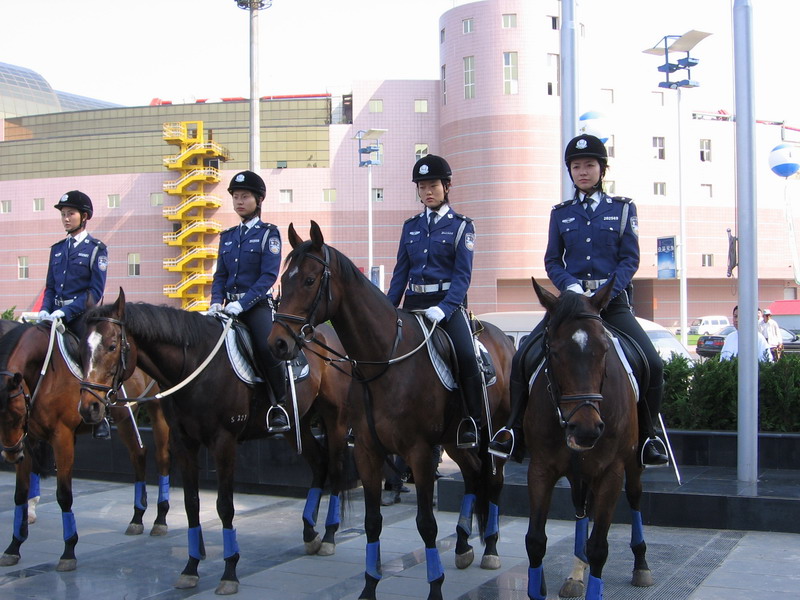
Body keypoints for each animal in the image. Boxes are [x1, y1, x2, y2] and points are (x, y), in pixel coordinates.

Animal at [0, 318, 169, 572]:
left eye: (18, 414)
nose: (11, 455)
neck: (42, 371)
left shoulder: (62, 438)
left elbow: (64, 495)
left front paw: (69, 550)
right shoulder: (27, 440)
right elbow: (20, 494)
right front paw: (13, 546)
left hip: (156, 408)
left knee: (161, 456)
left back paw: (160, 518)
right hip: (123, 416)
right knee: (138, 453)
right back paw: (137, 517)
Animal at [79, 292, 352, 596]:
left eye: (112, 346)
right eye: (82, 348)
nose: (89, 407)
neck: (195, 366)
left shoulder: (224, 442)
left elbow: (225, 506)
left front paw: (229, 570)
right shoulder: (184, 443)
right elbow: (191, 503)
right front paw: (191, 566)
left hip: (335, 418)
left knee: (336, 468)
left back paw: (329, 535)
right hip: (296, 424)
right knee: (319, 463)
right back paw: (309, 532)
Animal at [266, 220, 510, 600]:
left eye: (308, 280)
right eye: (282, 281)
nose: (277, 343)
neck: (383, 361)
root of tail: (504, 337)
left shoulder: (420, 453)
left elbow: (426, 524)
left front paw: (435, 587)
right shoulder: (367, 451)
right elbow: (372, 522)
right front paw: (369, 585)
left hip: (493, 433)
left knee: (493, 480)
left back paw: (491, 548)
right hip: (454, 439)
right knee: (472, 474)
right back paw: (462, 545)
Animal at [520, 280, 652, 600]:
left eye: (604, 350)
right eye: (554, 352)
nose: (586, 428)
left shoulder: (611, 472)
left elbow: (599, 546)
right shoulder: (540, 469)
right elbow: (535, 541)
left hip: (631, 463)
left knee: (635, 496)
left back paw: (641, 563)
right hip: (578, 471)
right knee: (581, 506)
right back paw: (576, 570)